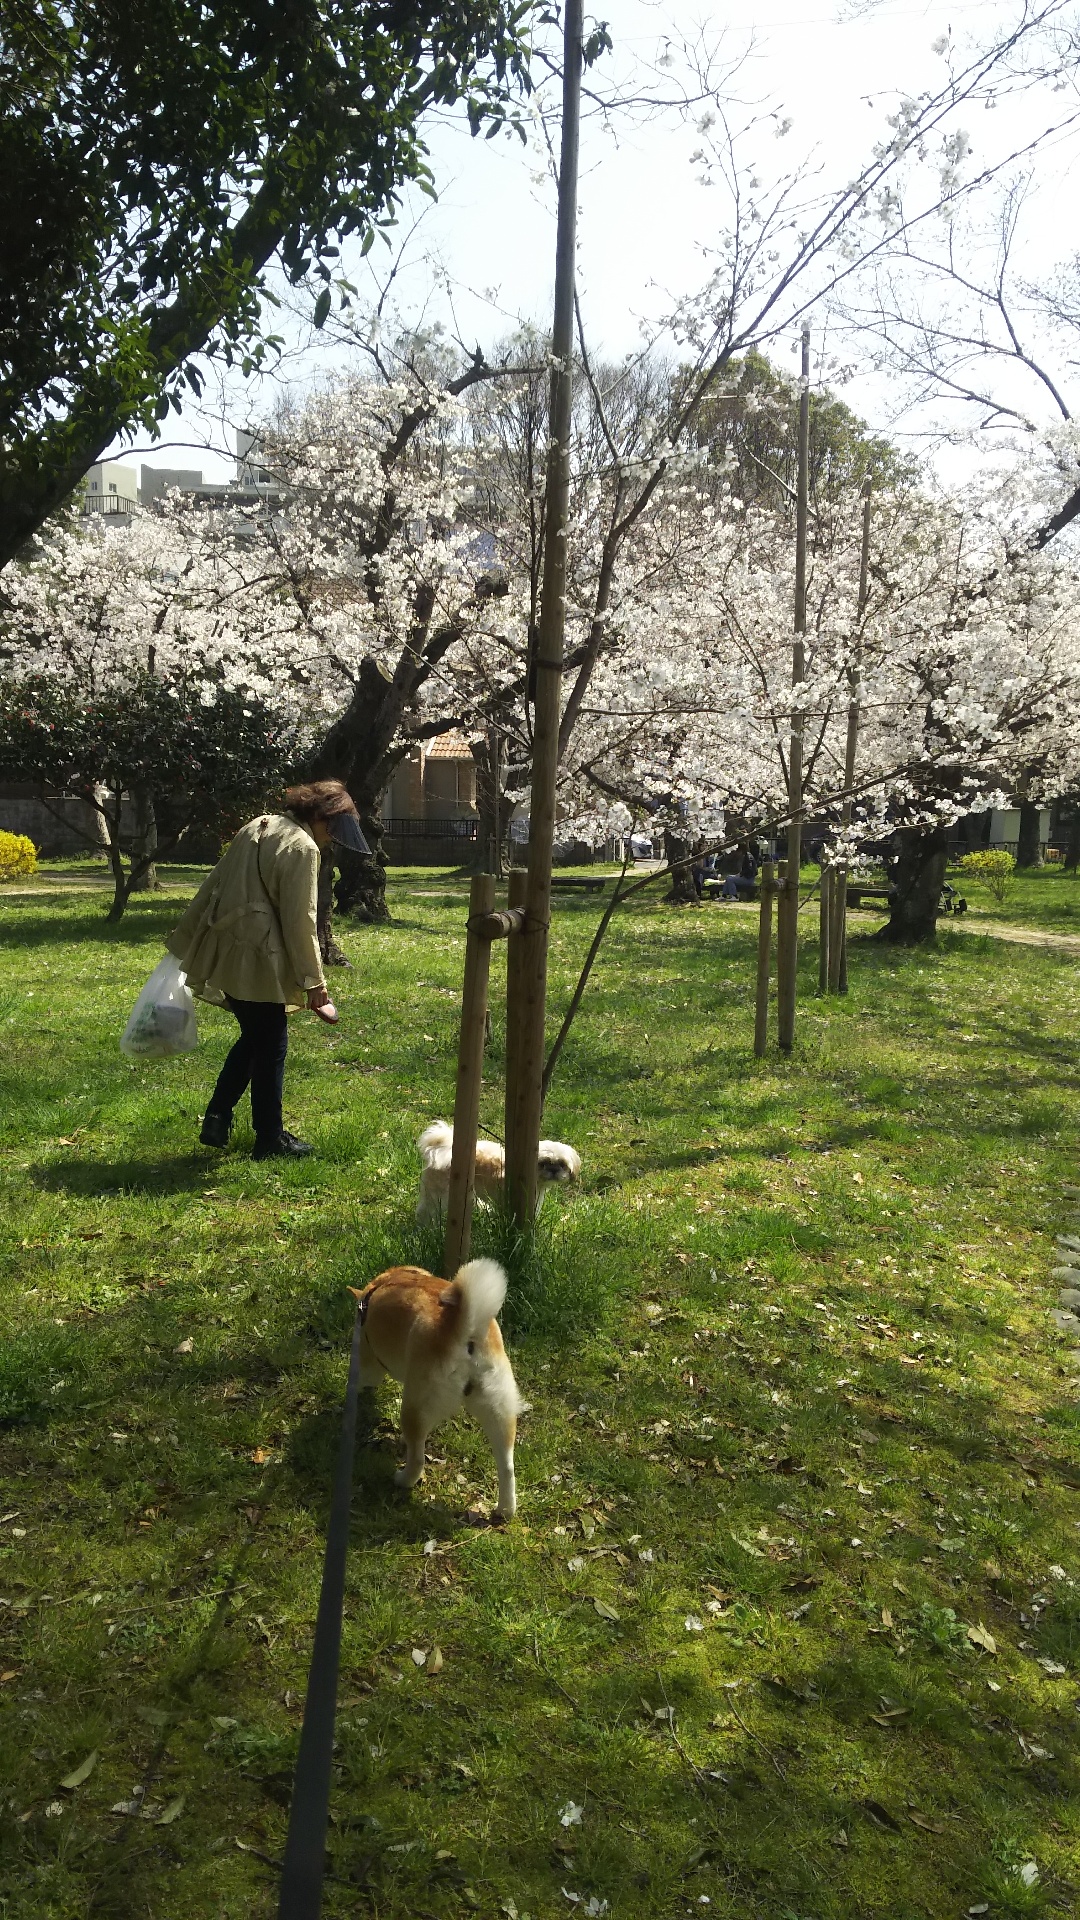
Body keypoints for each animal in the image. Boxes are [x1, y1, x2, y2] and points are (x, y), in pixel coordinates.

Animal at [413, 1121, 580, 1221]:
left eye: (562, 1164)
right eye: (544, 1163)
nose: (554, 1170)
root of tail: (440, 1147)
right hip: (439, 1193)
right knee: (427, 1209)